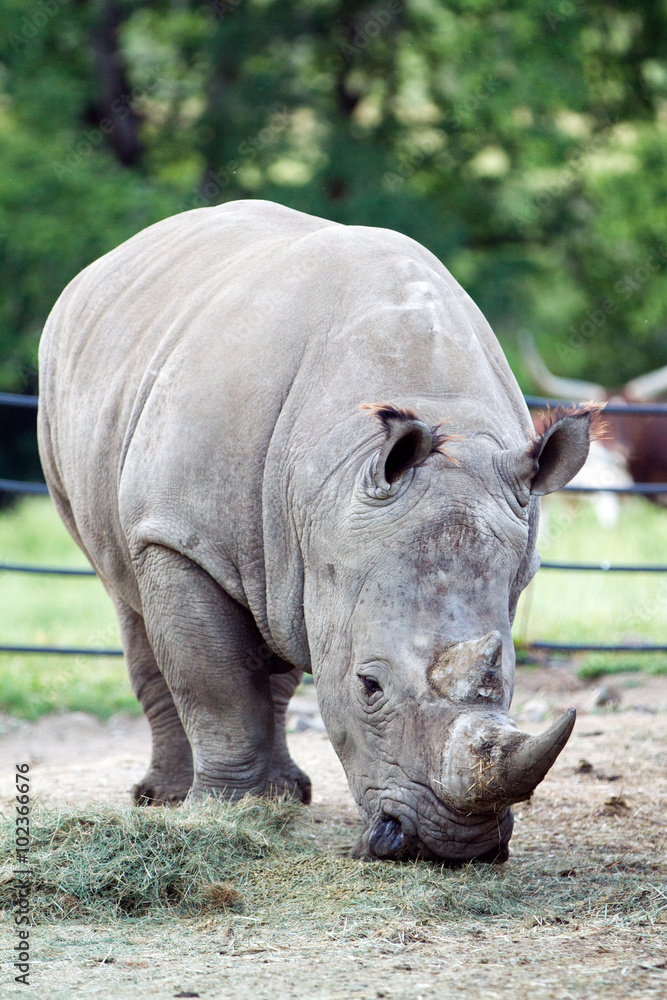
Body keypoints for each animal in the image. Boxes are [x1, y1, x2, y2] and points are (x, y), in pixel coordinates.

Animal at [38, 199, 593, 862]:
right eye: (369, 687)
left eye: (506, 677)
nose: (451, 847)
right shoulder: (181, 537)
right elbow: (214, 683)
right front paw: (221, 814)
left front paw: (253, 805)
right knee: (127, 591)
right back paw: (166, 799)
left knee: (273, 627)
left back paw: (287, 795)